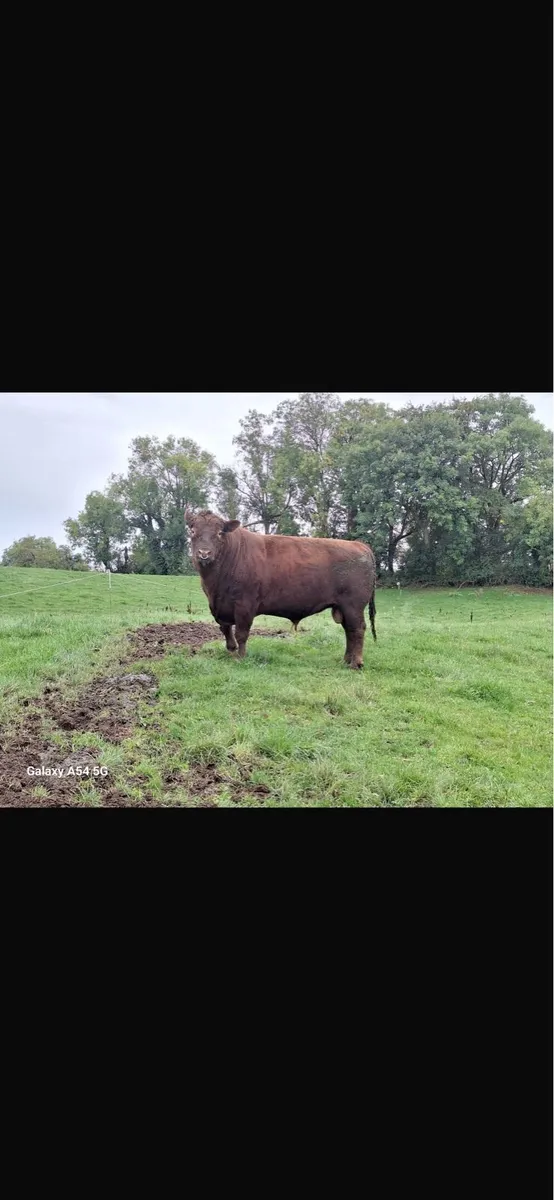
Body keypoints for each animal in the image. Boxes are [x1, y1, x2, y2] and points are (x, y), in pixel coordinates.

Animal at [185, 509, 377, 669]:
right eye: (193, 531)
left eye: (219, 533)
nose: (204, 553)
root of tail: (359, 545)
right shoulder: (219, 605)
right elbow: (225, 630)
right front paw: (231, 651)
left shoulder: (244, 604)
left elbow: (241, 633)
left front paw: (240, 657)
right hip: (343, 607)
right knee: (349, 631)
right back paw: (345, 660)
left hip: (353, 605)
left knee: (357, 630)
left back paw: (356, 664)